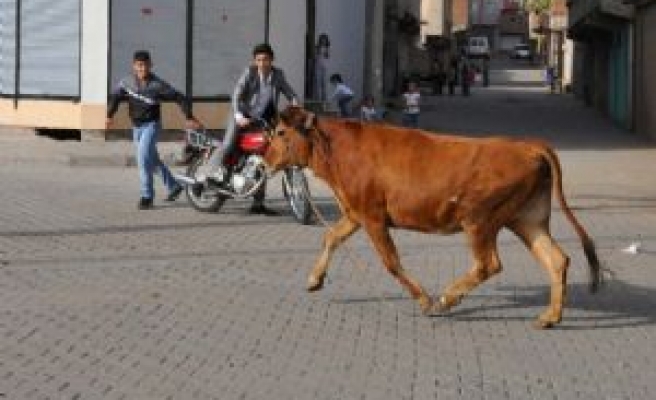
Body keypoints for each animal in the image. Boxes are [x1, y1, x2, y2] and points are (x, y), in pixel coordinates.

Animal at [264, 106, 604, 328]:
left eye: (280, 132)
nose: (264, 160)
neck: (340, 150)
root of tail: (527, 145)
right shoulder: (354, 212)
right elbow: (331, 237)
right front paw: (314, 279)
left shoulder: (372, 216)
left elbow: (391, 261)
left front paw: (425, 300)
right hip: (526, 218)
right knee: (556, 259)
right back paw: (550, 317)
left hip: (479, 219)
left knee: (489, 264)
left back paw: (447, 298)